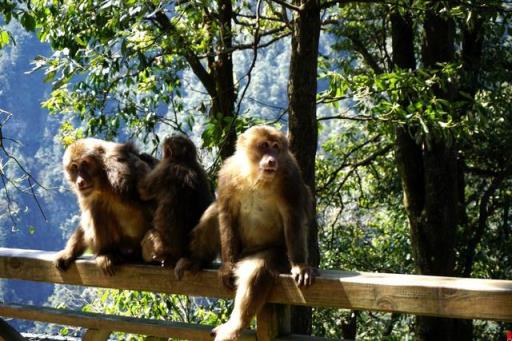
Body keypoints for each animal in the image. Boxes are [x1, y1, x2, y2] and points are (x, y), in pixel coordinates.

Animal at [54, 137, 154, 274]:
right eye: (74, 168)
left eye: (85, 164)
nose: (80, 181)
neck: (103, 181)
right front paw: (68, 253)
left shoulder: (120, 169)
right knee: (97, 206)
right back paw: (105, 253)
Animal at [137, 133, 213, 266]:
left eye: (176, 140)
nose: (169, 137)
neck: (185, 161)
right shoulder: (201, 172)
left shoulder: (167, 167)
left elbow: (143, 190)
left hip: (161, 247)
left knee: (149, 237)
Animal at [174, 125, 314, 340]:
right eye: (264, 146)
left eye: (276, 147)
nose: (272, 159)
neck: (255, 176)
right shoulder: (228, 173)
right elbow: (226, 212)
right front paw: (227, 267)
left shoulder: (290, 176)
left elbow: (293, 216)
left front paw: (300, 265)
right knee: (215, 212)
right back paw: (195, 259)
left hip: (276, 252)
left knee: (256, 269)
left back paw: (235, 325)